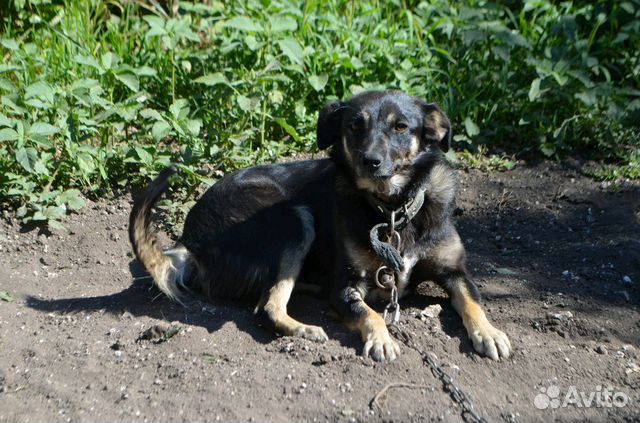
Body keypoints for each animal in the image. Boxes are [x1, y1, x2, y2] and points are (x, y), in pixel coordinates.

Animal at [129, 89, 510, 362]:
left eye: (401, 126)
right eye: (355, 126)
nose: (370, 161)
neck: (391, 210)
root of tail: (189, 242)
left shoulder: (455, 272)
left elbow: (473, 301)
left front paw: (489, 333)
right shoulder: (344, 287)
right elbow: (370, 313)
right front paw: (382, 339)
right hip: (294, 219)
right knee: (267, 308)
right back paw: (305, 330)